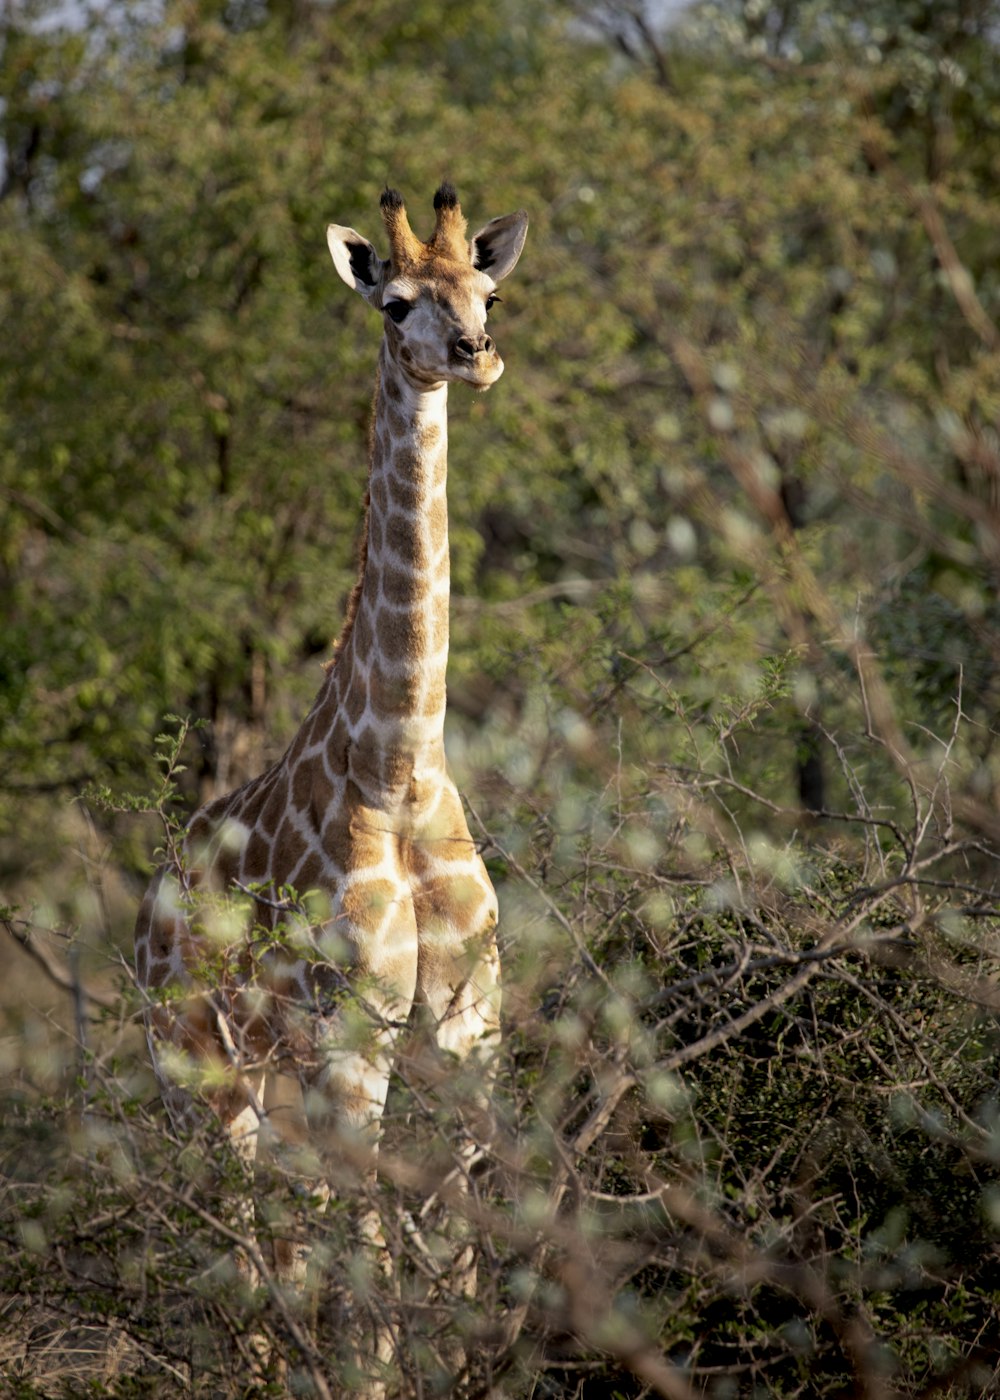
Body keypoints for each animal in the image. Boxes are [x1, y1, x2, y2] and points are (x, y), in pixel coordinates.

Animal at [134, 180, 529, 1383]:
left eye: (488, 291)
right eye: (393, 301)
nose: (473, 354)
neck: (399, 771)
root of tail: (145, 907)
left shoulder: (468, 1032)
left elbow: (453, 1247)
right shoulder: (355, 1035)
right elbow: (373, 1256)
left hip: (269, 1080)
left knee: (280, 1232)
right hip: (195, 1075)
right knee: (230, 1234)